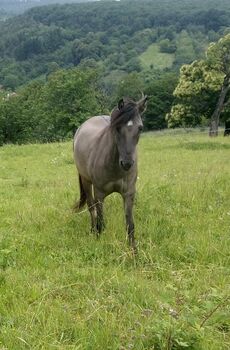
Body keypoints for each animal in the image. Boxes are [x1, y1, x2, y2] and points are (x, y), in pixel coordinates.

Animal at [73, 95, 147, 252]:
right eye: (117, 128)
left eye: (140, 128)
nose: (127, 163)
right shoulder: (99, 194)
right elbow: (101, 221)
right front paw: (98, 240)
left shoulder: (129, 193)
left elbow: (130, 224)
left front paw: (133, 250)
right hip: (86, 181)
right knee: (91, 207)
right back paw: (92, 230)